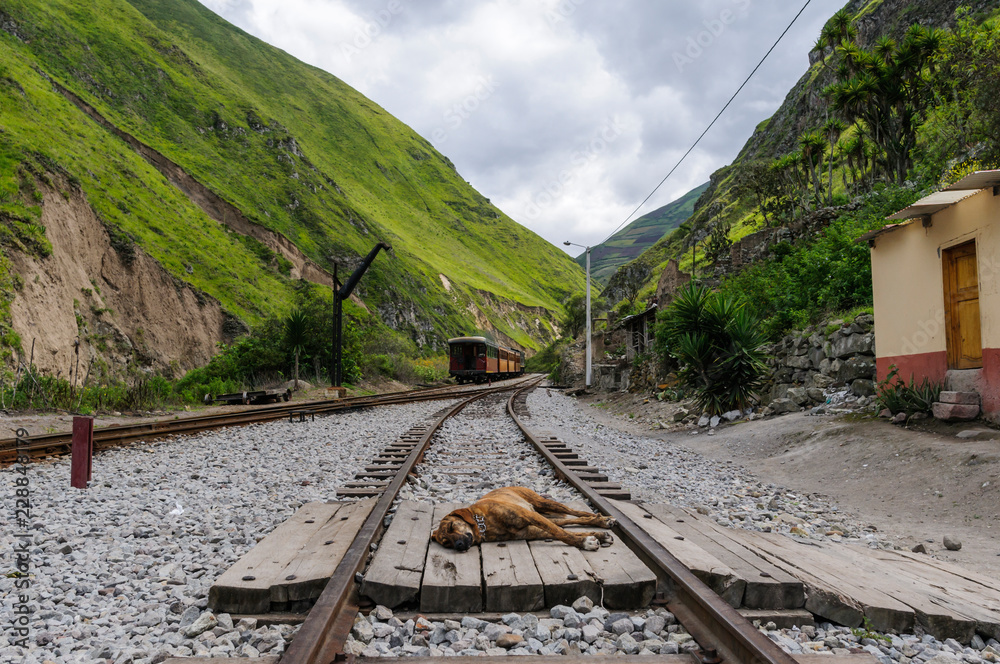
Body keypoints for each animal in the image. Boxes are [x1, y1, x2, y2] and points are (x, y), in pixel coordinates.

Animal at [432, 486, 616, 552]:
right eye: (446, 543)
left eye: (451, 527)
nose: (458, 545)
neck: (484, 523)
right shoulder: (532, 531)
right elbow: (565, 533)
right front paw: (592, 538)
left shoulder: (529, 516)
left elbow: (561, 534)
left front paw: (584, 543)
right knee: (568, 522)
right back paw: (600, 523)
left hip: (543, 503)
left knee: (575, 512)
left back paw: (601, 517)